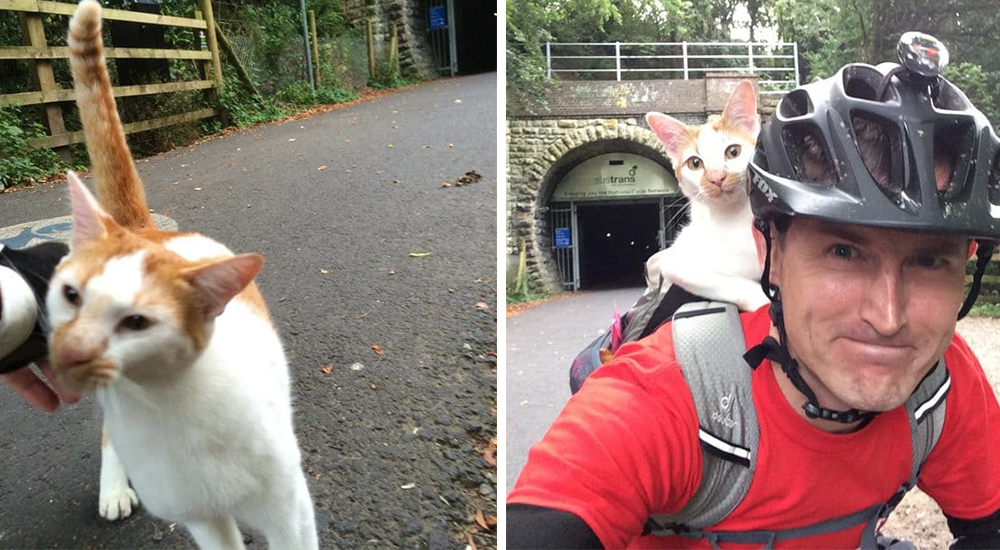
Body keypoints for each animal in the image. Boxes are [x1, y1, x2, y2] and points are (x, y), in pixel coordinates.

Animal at [47, 2, 316, 548]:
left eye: (138, 322)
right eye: (70, 295)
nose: (73, 351)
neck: (166, 405)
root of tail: (147, 230)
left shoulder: (289, 507)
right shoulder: (202, 516)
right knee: (108, 434)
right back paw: (114, 487)